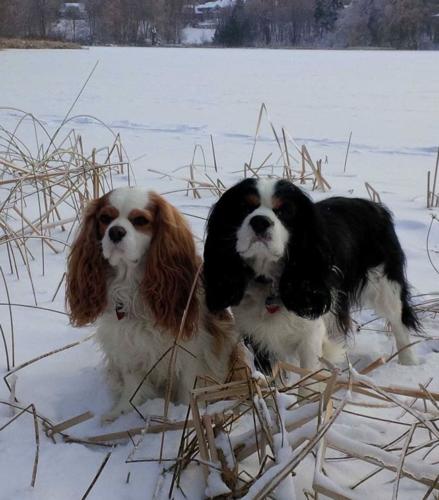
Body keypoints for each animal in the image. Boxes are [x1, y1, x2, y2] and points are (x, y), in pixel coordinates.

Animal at [65, 187, 244, 422]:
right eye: (105, 218)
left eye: (140, 220)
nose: (115, 232)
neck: (131, 283)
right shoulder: (127, 345)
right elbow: (132, 385)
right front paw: (122, 412)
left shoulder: (192, 350)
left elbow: (190, 386)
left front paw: (186, 414)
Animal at [205, 176, 422, 372]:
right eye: (244, 208)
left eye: (283, 211)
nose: (259, 221)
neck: (268, 280)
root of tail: (374, 206)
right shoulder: (257, 334)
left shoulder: (310, 332)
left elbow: (308, 375)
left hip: (385, 288)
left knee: (399, 322)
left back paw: (408, 364)